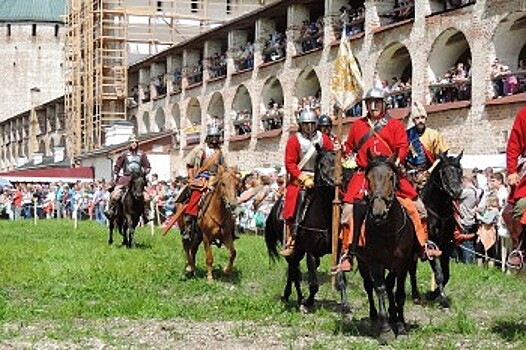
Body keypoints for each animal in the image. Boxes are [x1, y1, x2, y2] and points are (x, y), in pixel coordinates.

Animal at [266, 149, 352, 314]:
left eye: (338, 163)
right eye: (322, 164)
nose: (337, 183)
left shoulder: (337, 251)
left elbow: (341, 279)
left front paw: (345, 304)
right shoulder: (311, 252)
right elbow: (313, 283)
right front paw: (309, 302)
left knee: (293, 271)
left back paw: (290, 295)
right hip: (294, 250)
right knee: (294, 272)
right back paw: (298, 299)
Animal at [358, 153, 420, 340]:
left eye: (391, 177)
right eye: (368, 178)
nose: (379, 213)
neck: (387, 231)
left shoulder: (402, 263)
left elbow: (398, 292)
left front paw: (400, 326)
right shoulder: (374, 262)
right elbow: (379, 289)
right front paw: (385, 329)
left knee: (390, 284)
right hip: (362, 263)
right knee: (369, 286)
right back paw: (374, 317)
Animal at [412, 150, 466, 306]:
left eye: (460, 171)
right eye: (445, 172)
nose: (456, 192)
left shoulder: (446, 245)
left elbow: (446, 274)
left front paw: (433, 294)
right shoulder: (431, 245)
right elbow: (439, 273)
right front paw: (442, 298)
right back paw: (415, 295)